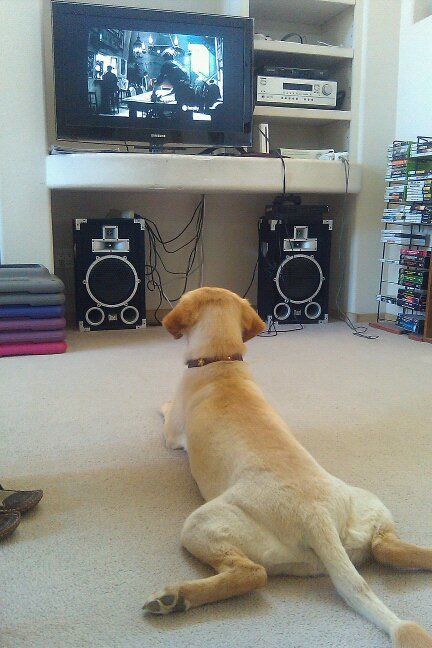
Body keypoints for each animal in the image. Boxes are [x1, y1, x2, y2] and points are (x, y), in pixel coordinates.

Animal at [145, 288, 432, 648]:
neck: (222, 359)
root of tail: (317, 517)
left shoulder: (171, 435)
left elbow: (165, 409)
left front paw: (162, 403)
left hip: (201, 523)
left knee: (254, 574)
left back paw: (175, 598)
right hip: (368, 507)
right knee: (386, 547)